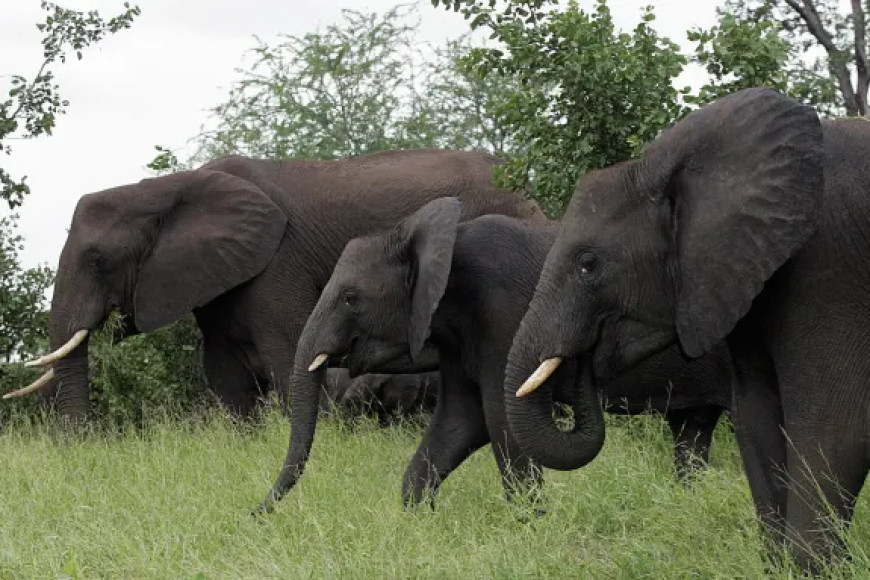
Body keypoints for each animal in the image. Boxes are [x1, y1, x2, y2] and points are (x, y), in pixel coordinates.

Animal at [8, 149, 544, 421]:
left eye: (99, 260)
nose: (82, 444)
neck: (172, 187)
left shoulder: (276, 264)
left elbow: (289, 360)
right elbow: (226, 377)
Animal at [259, 199, 731, 512]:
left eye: (351, 299)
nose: (257, 514)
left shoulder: (503, 313)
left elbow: (502, 422)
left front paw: (532, 528)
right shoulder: (458, 335)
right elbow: (459, 422)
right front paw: (420, 517)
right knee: (692, 432)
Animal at [503, 88, 868, 568]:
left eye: (588, 265)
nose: (581, 360)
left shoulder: (829, 270)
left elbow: (834, 427)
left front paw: (814, 568)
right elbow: (757, 420)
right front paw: (778, 566)